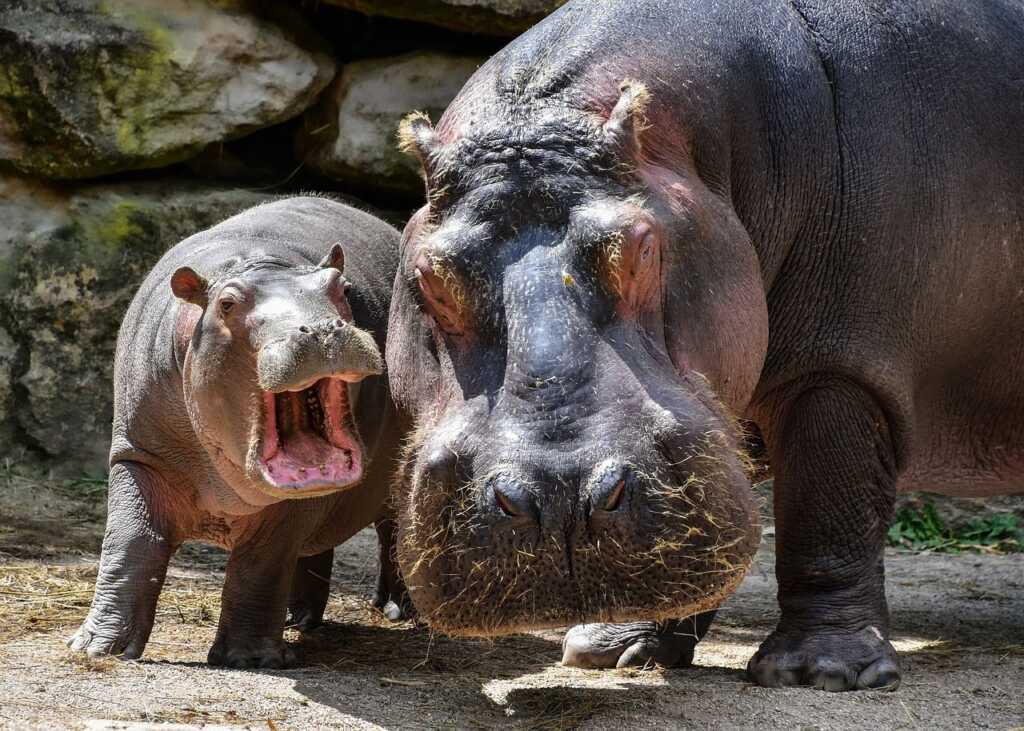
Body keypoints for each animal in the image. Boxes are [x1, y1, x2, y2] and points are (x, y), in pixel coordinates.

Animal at [69, 197, 407, 668]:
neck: (258, 263)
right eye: (227, 303)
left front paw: (249, 660)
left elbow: (263, 562)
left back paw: (397, 610)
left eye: (340, 287)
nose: (323, 330)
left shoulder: (289, 507)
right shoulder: (139, 455)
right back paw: (298, 620)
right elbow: (131, 541)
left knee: (393, 529)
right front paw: (97, 647)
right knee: (315, 550)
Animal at [386, 0, 1024, 692]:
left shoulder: (841, 363)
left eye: (642, 246)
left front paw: (820, 671)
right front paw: (617, 649)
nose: (560, 496)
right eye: (428, 275)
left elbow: (827, 508)